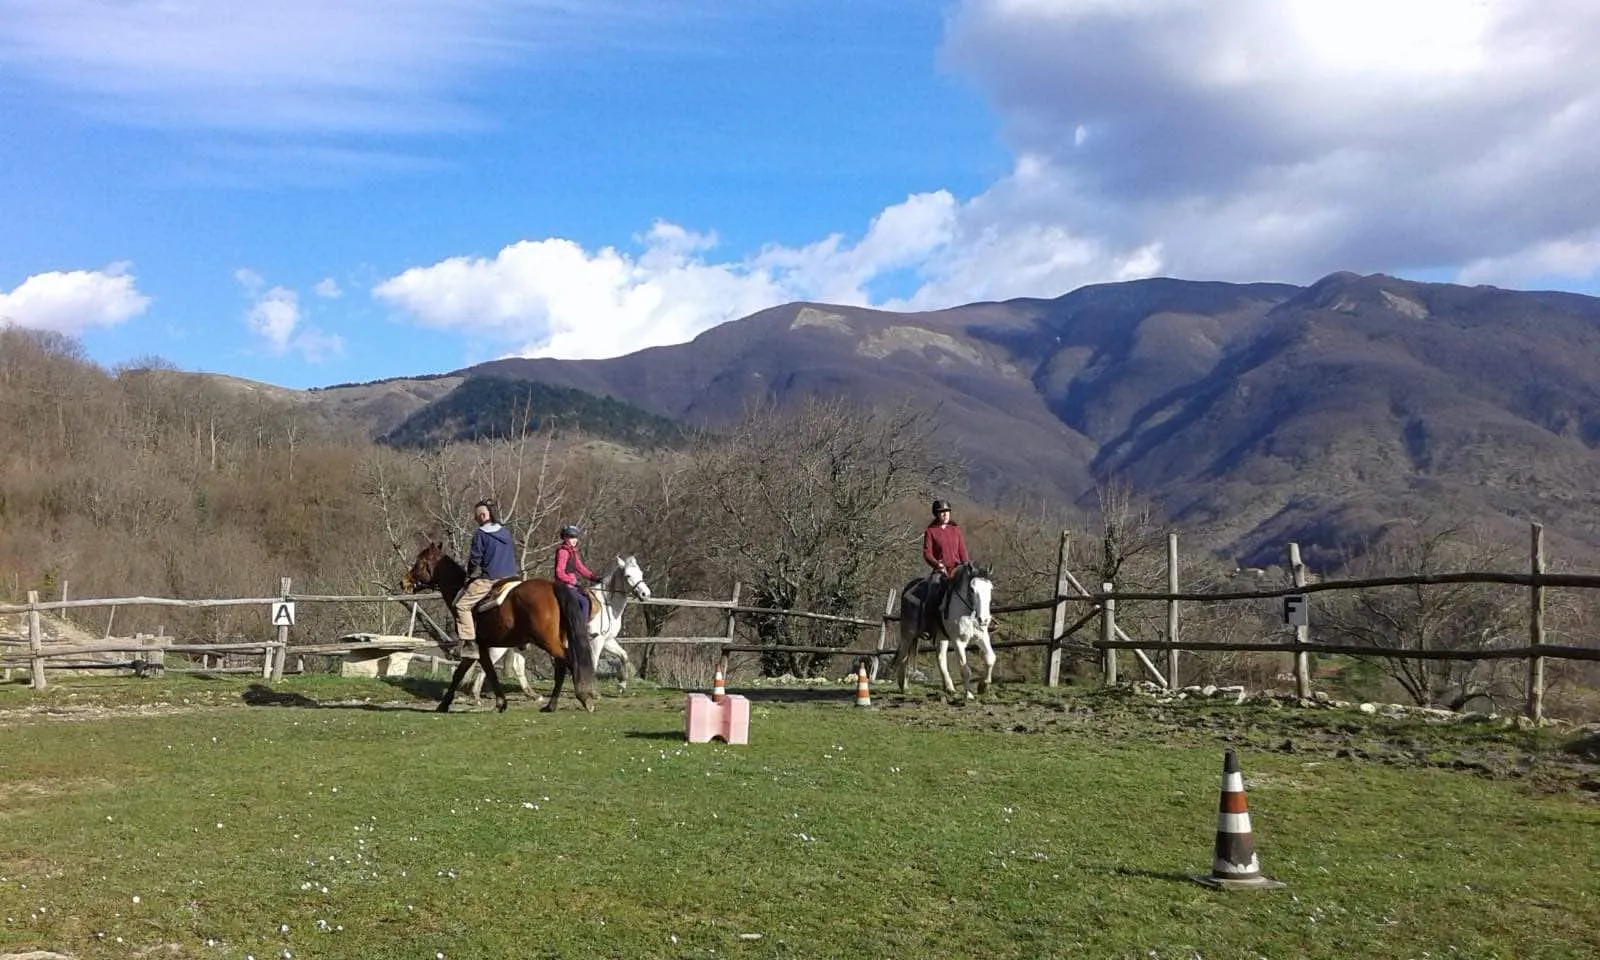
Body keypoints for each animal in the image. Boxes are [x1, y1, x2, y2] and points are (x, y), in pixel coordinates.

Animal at [402, 542, 597, 713]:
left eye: (419, 562)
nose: (403, 582)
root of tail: (552, 586)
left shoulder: (477, 646)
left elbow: (477, 672)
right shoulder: (481, 648)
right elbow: (469, 672)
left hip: (546, 641)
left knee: (567, 662)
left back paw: (578, 699)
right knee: (563, 665)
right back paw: (558, 703)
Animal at [465, 555, 651, 700]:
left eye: (641, 573)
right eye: (628, 575)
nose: (645, 594)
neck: (606, 604)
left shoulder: (607, 641)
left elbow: (624, 656)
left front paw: (621, 685)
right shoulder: (596, 641)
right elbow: (594, 662)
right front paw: (594, 692)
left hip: (520, 642)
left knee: (518, 665)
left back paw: (532, 695)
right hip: (502, 644)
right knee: (488, 661)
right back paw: (476, 695)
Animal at [890, 562, 996, 700]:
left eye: (990, 589)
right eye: (972, 589)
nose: (984, 619)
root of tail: (908, 588)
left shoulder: (982, 636)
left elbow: (990, 658)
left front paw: (983, 686)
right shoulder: (958, 641)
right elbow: (965, 669)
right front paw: (968, 694)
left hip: (941, 636)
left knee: (940, 658)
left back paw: (949, 687)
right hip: (908, 633)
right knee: (903, 655)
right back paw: (905, 687)